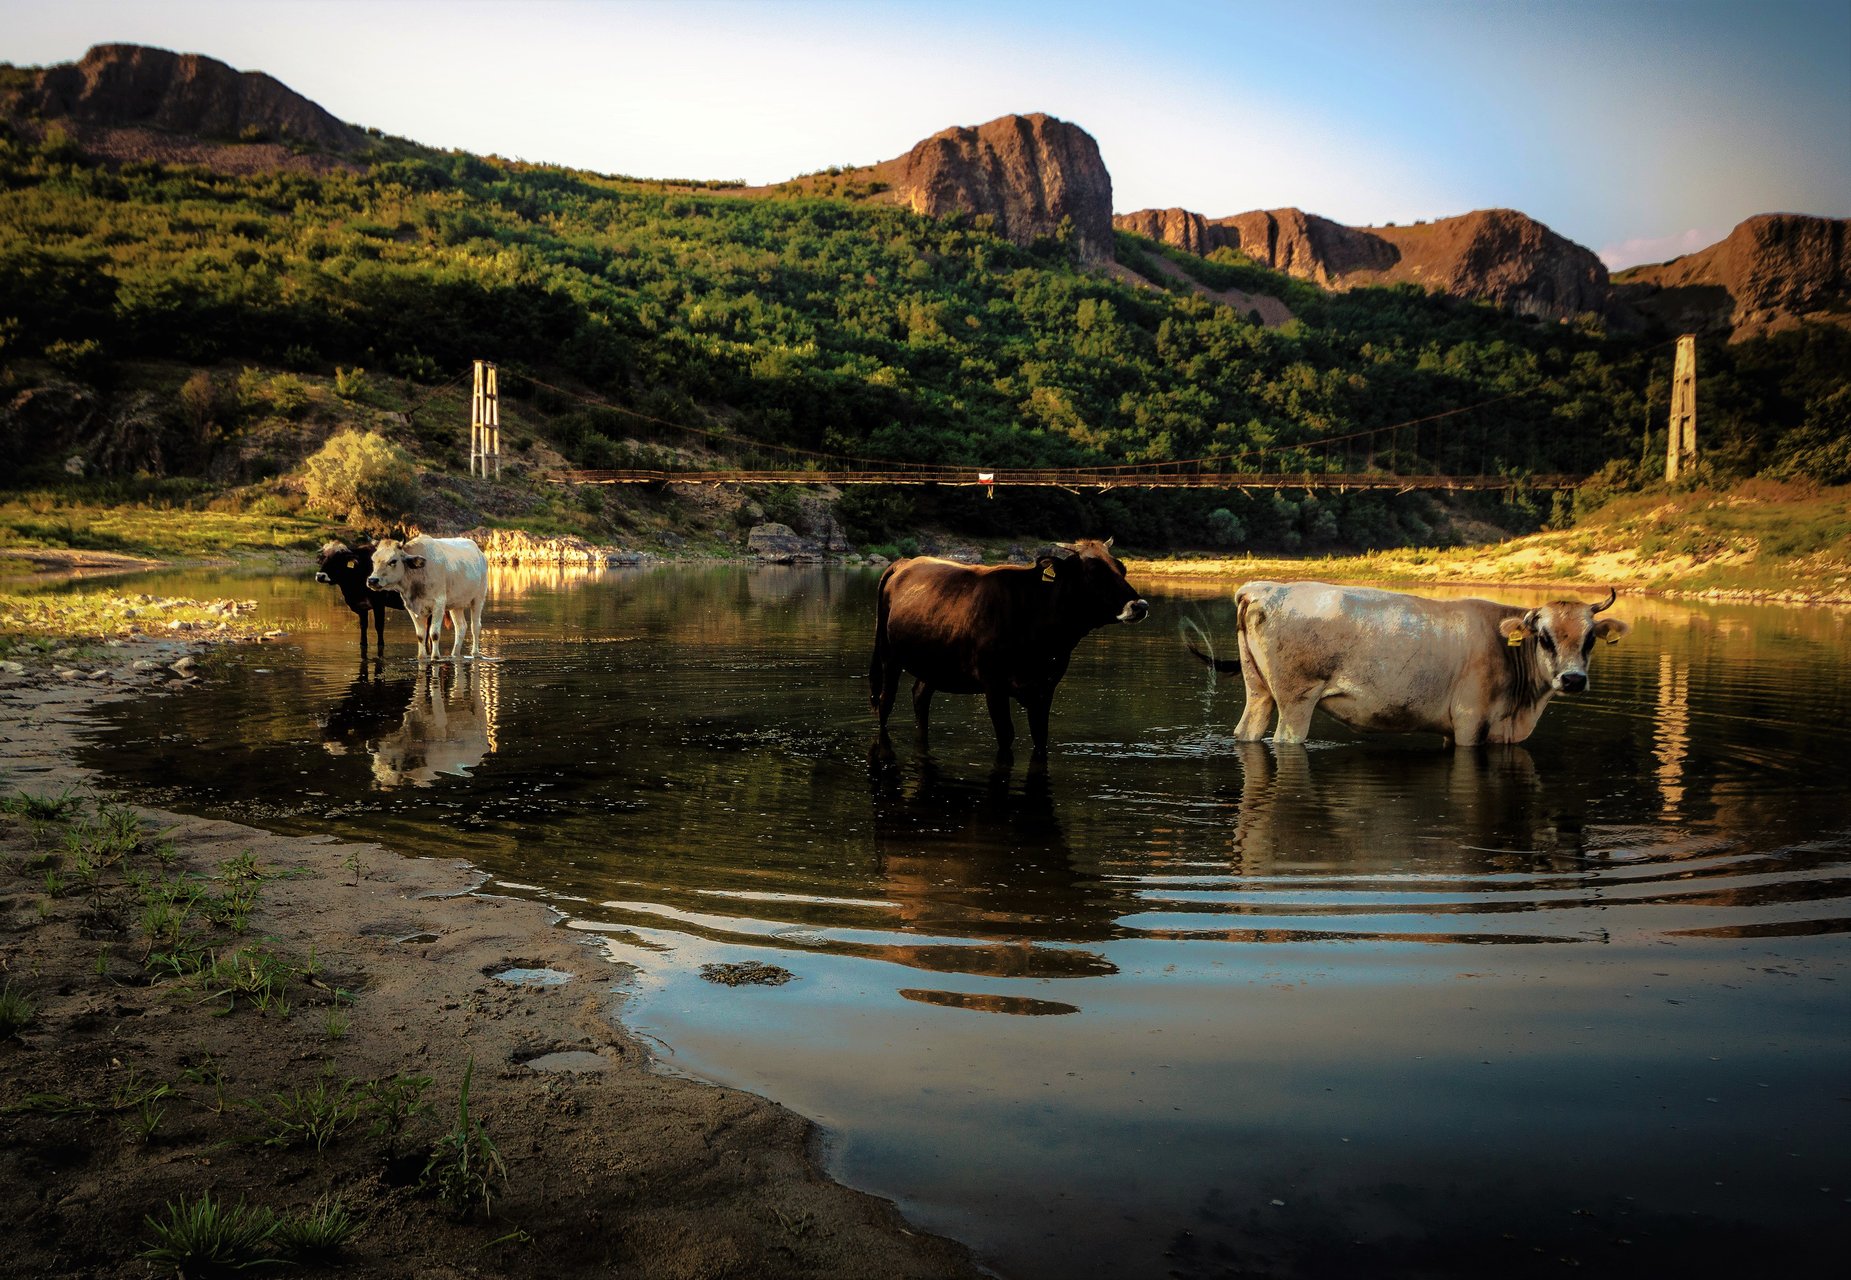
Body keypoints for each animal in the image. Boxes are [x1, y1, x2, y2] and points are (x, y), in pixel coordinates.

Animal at [362, 536, 484, 665]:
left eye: (393, 561)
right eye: (373, 560)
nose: (372, 580)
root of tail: (479, 552)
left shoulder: (439, 604)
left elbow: (434, 633)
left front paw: (435, 657)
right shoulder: (411, 607)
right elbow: (420, 635)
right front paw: (421, 656)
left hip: (478, 598)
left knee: (475, 626)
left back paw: (475, 653)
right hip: (456, 605)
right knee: (461, 627)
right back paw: (455, 654)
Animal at [866, 536, 1140, 754]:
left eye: (1122, 568)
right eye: (1094, 571)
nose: (1140, 605)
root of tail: (905, 562)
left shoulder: (1045, 687)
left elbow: (1041, 737)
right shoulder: (993, 684)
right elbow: (1006, 734)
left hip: (934, 663)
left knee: (920, 696)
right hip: (888, 655)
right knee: (885, 702)